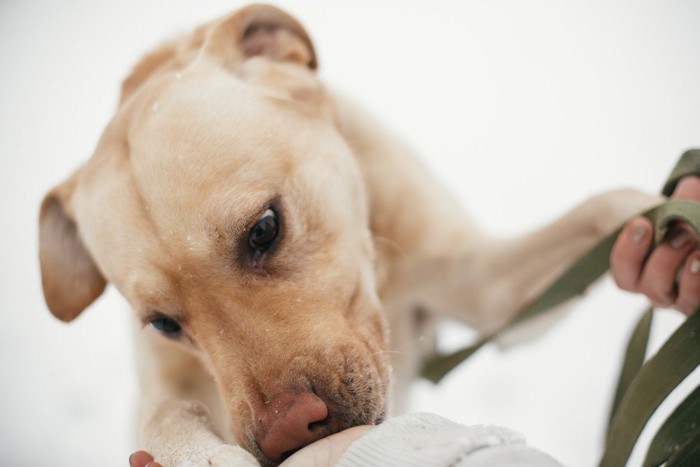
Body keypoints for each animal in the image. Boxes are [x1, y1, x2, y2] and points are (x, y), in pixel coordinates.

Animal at [38, 4, 660, 467]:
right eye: (164, 324)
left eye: (264, 229)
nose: (288, 435)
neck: (381, 270)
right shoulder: (161, 385)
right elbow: (163, 415)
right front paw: (200, 454)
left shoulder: (487, 291)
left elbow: (610, 207)